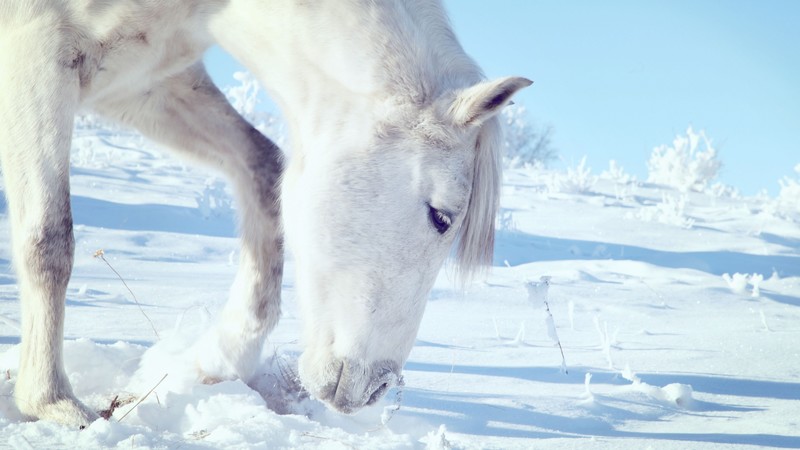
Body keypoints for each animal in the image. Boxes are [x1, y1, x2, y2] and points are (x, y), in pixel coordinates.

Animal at [0, 0, 531, 427]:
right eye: (441, 216)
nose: (376, 389)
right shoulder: (38, 52)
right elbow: (49, 240)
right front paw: (52, 403)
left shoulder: (143, 82)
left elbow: (263, 168)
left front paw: (221, 357)